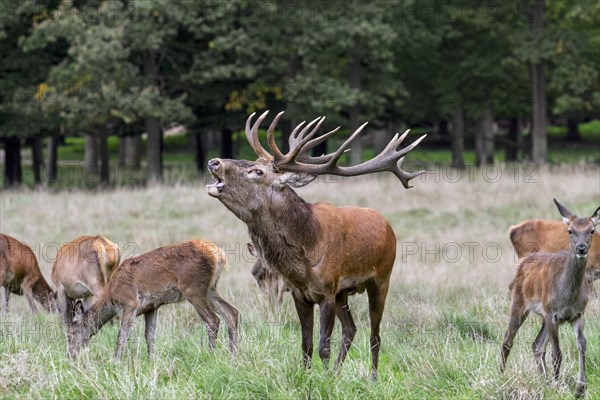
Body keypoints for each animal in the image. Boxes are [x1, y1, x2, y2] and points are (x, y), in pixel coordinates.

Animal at [68, 239, 239, 358]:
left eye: (69, 335)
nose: (70, 355)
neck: (112, 298)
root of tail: (218, 254)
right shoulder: (151, 307)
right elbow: (149, 336)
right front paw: (151, 359)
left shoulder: (130, 302)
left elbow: (122, 334)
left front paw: (115, 359)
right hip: (210, 289)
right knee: (231, 312)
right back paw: (233, 354)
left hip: (193, 288)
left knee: (213, 320)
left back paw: (210, 354)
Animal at [207, 110, 426, 378]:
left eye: (257, 171)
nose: (214, 162)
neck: (303, 257)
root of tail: (387, 225)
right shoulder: (300, 294)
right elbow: (306, 344)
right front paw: (311, 375)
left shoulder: (327, 292)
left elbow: (324, 346)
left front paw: (324, 379)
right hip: (344, 292)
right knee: (351, 329)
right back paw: (338, 372)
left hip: (381, 278)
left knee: (375, 336)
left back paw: (372, 378)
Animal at [500, 199, 596, 396]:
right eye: (570, 230)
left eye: (592, 230)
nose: (581, 248)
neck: (568, 297)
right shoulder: (553, 313)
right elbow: (557, 352)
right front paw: (558, 386)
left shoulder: (578, 313)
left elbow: (582, 345)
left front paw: (580, 388)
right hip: (519, 302)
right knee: (507, 340)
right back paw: (501, 375)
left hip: (544, 314)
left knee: (536, 345)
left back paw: (544, 381)